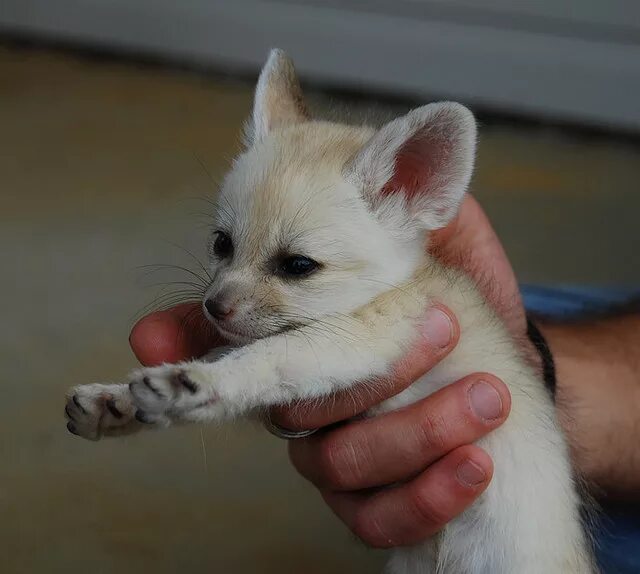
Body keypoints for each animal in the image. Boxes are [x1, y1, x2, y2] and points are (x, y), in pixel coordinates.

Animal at [65, 50, 596, 574]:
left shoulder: (360, 340)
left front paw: (194, 383)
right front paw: (117, 404)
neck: (393, 289)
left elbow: (260, 358)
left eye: (298, 266)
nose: (214, 308)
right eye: (221, 244)